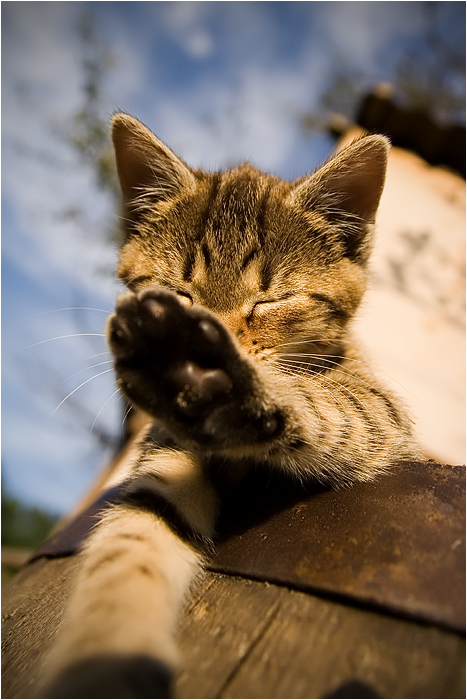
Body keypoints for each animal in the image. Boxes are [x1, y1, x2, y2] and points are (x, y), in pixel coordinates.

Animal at [42, 113, 418, 696]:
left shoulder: (377, 408)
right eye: (178, 294)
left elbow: (324, 406)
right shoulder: (165, 455)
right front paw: (106, 652)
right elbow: (133, 537)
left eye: (271, 300)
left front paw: (232, 386)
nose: (204, 340)